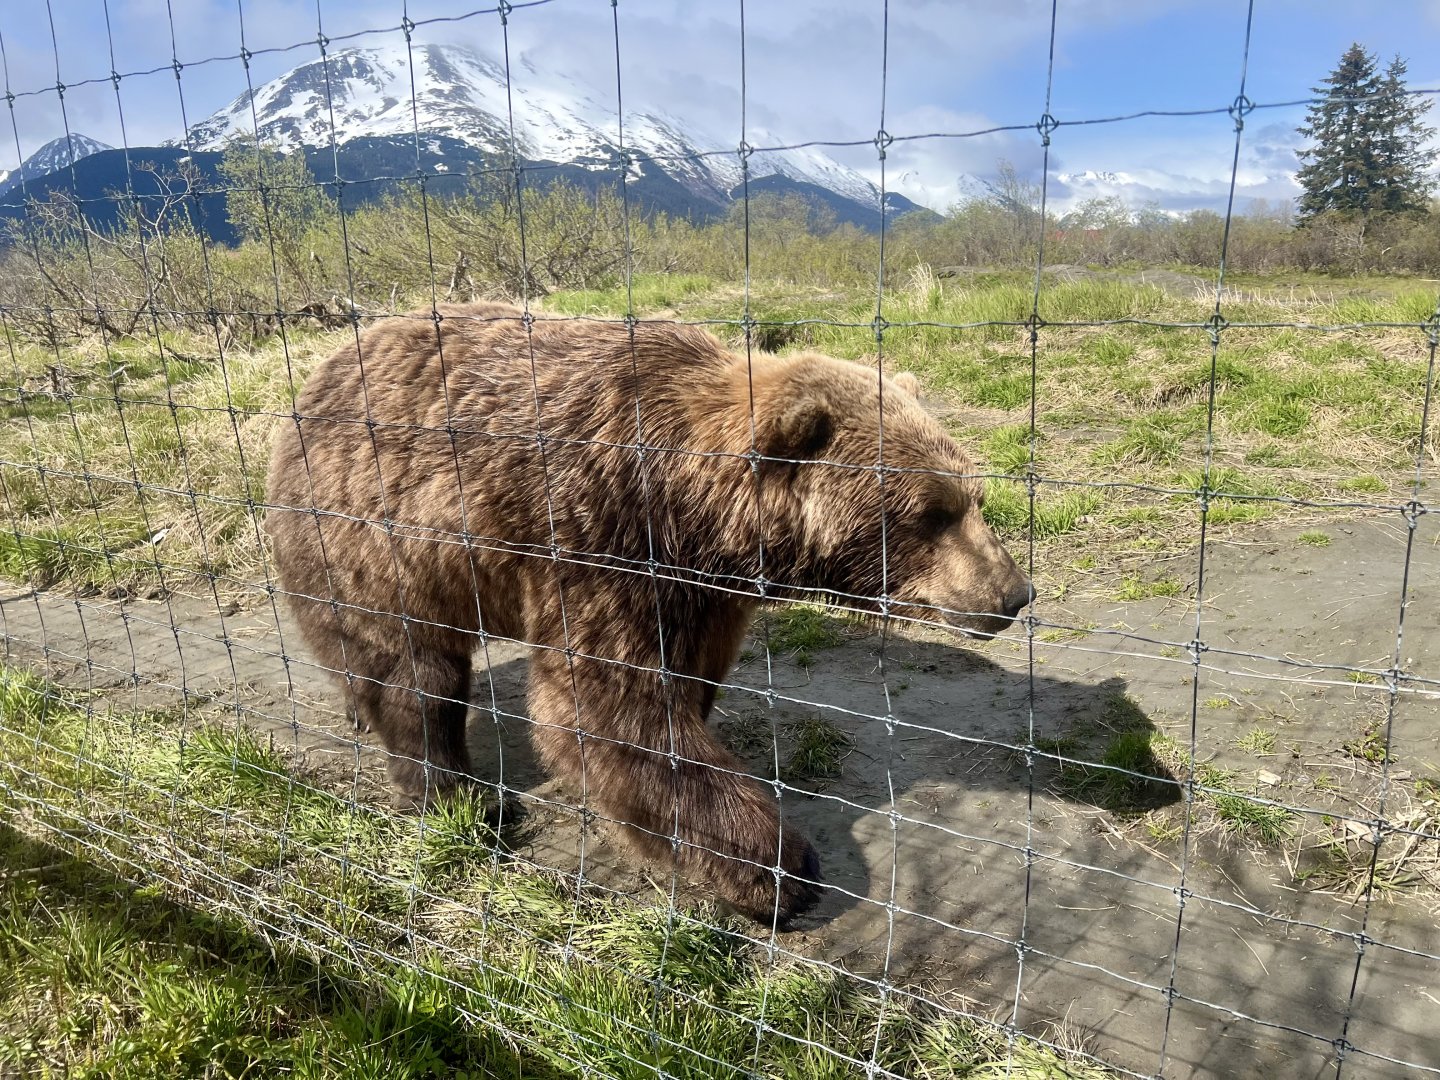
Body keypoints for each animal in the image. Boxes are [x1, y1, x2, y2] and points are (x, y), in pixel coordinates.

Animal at [264, 303, 1033, 924]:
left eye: (974, 495)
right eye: (932, 512)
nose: (1012, 595)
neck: (696, 514)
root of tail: (318, 375)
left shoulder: (700, 592)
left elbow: (687, 681)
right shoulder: (601, 538)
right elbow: (614, 707)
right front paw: (778, 869)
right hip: (373, 537)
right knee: (413, 671)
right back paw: (454, 792)